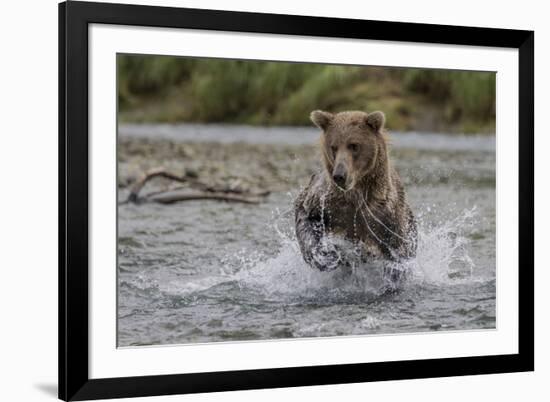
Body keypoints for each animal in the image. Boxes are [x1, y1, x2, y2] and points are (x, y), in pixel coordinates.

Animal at [298, 110, 418, 274]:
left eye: (354, 145)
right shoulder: (326, 202)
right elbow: (305, 216)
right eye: (333, 147)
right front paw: (325, 256)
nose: (339, 175)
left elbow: (398, 249)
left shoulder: (385, 215)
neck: (356, 194)